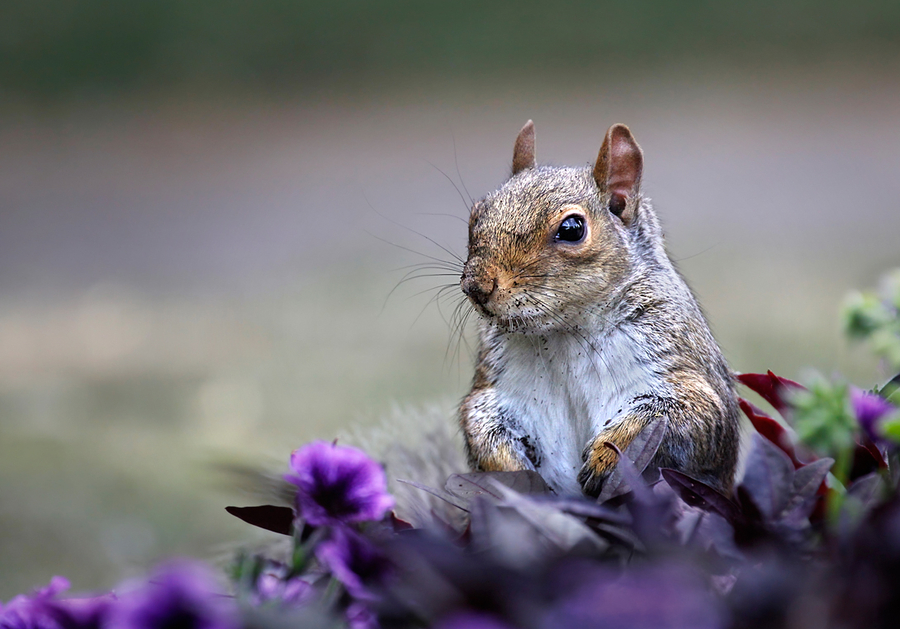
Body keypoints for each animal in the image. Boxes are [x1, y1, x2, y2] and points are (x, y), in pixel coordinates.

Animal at [460, 120, 740, 498]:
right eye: (476, 215)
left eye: (572, 229)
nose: (476, 287)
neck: (565, 331)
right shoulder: (495, 388)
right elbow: (481, 424)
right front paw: (514, 476)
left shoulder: (680, 362)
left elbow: (690, 415)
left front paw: (607, 454)